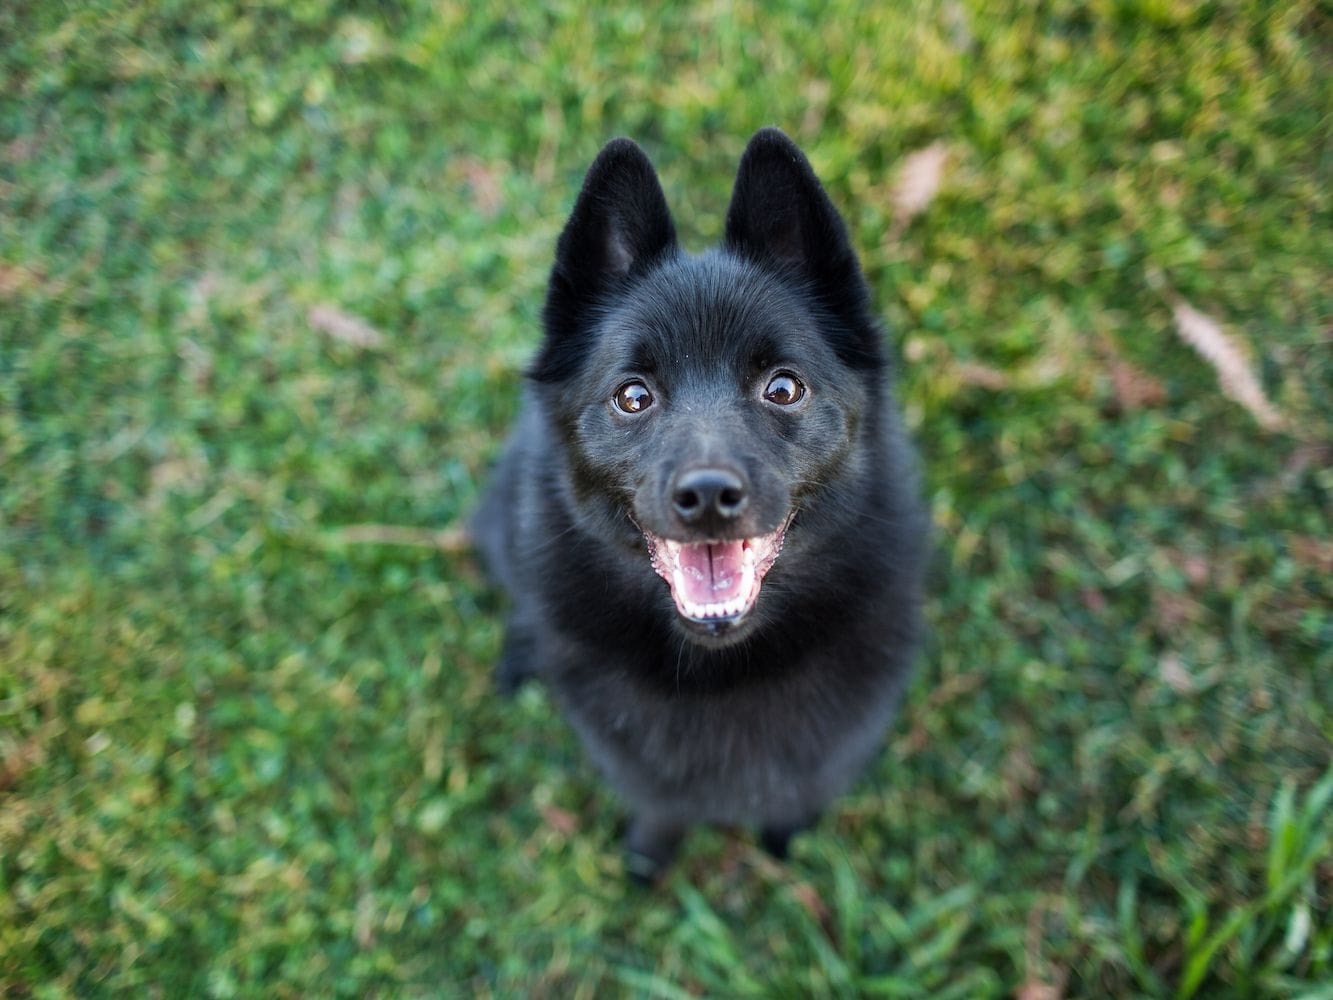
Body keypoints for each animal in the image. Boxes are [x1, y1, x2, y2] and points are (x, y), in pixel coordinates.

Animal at [477, 127, 927, 885]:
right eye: (633, 395)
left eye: (783, 387)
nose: (708, 496)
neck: (726, 669)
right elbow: (662, 808)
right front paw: (648, 858)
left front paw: (784, 838)